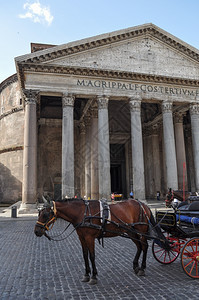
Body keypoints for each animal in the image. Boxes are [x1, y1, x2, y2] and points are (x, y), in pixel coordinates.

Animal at [33, 198, 166, 284]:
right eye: (39, 213)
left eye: (45, 215)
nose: (36, 231)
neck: (82, 213)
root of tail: (143, 204)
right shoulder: (81, 237)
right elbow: (85, 255)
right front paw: (86, 275)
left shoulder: (89, 237)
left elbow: (92, 256)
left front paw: (93, 276)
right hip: (131, 231)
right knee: (139, 246)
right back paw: (136, 267)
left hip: (141, 229)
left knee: (144, 246)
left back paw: (142, 268)